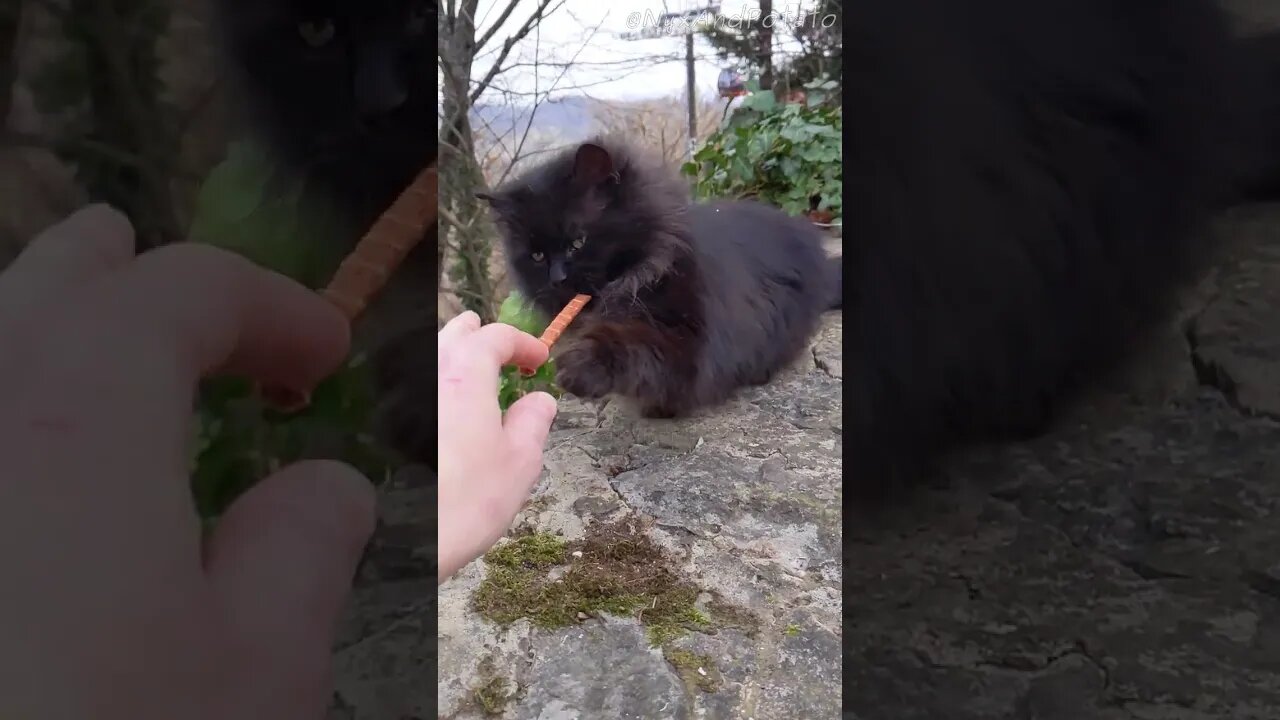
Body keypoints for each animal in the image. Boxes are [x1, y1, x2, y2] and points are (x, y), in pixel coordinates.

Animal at [478, 139, 839, 417]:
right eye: (537, 256)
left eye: (577, 242)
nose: (557, 278)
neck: (644, 276)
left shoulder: (691, 344)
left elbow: (635, 347)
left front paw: (585, 365)